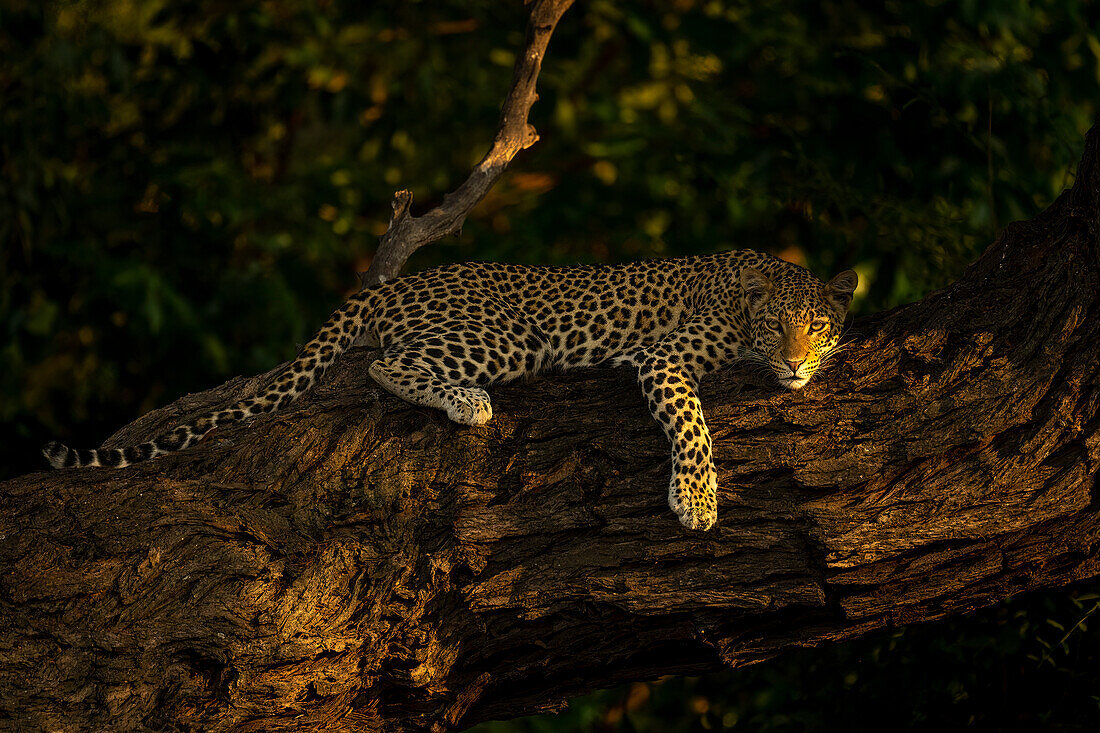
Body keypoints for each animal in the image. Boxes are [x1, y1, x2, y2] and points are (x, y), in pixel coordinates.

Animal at [40, 248, 858, 528]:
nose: (795, 364)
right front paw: (696, 498)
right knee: (383, 364)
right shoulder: (663, 357)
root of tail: (389, 286)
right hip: (504, 336)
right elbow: (692, 426)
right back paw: (468, 402)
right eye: (777, 324)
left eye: (817, 325)